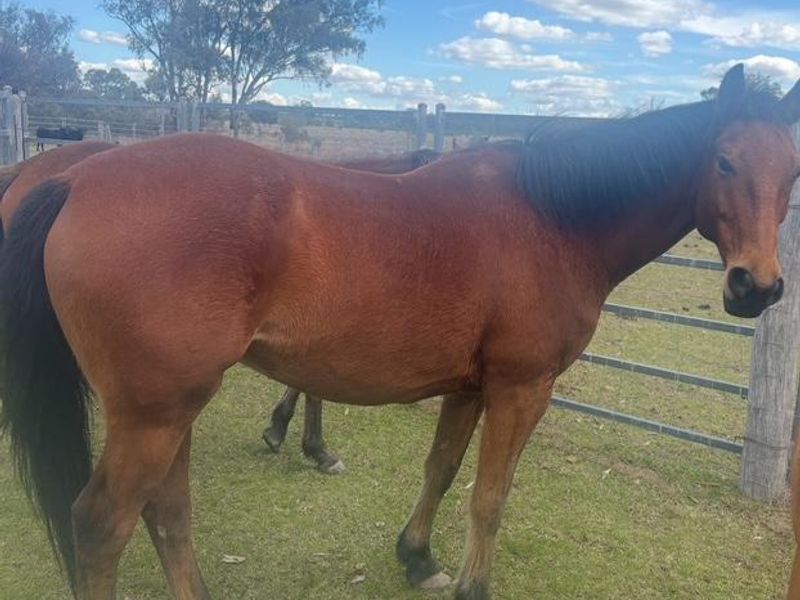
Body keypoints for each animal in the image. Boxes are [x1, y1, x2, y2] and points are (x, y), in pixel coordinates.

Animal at [1, 65, 799, 600]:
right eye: (724, 160)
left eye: (791, 170)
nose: (756, 287)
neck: (551, 219)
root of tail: (76, 182)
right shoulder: (522, 389)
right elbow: (490, 495)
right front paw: (473, 586)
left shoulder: (471, 387)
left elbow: (441, 470)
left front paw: (417, 559)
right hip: (154, 415)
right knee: (102, 525)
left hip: (170, 411)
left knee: (168, 513)